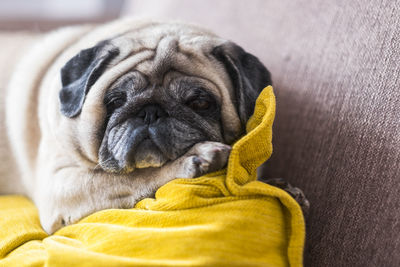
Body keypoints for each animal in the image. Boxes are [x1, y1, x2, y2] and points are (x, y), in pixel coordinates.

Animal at [0, 18, 306, 234]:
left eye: (200, 102)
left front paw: (276, 187)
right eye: (116, 101)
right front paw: (196, 160)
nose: (150, 112)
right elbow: (133, 176)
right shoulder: (61, 184)